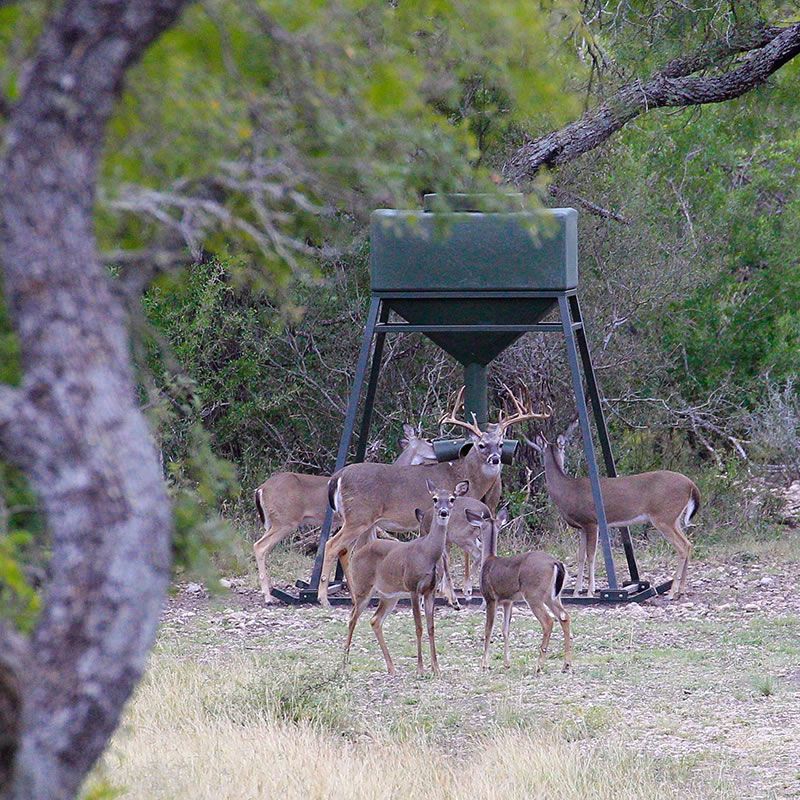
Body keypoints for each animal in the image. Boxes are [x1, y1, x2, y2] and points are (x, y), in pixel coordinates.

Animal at [253, 424, 436, 602]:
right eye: (428, 440)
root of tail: (260, 489)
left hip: (274, 522)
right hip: (286, 521)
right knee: (260, 546)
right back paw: (269, 597)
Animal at [319, 385, 550, 607]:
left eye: (501, 444)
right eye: (481, 445)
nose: (495, 459)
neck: (463, 476)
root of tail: (337, 477)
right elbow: (447, 557)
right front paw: (453, 595)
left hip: (363, 521)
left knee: (346, 551)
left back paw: (354, 595)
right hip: (359, 516)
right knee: (332, 545)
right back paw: (324, 598)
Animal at [343, 480, 469, 676]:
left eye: (452, 499)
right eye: (434, 499)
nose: (443, 512)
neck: (427, 553)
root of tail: (358, 553)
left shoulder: (430, 590)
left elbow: (431, 627)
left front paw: (436, 668)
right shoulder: (413, 587)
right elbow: (418, 627)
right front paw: (420, 669)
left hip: (389, 595)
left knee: (375, 620)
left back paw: (391, 667)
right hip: (362, 587)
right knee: (352, 618)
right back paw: (344, 665)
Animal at [465, 506, 573, 673]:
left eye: (479, 528)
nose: (477, 539)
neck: (488, 560)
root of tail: (556, 563)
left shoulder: (490, 597)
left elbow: (488, 629)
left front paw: (484, 664)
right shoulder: (508, 601)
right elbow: (505, 629)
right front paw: (507, 663)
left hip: (533, 595)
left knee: (548, 621)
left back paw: (539, 665)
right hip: (553, 596)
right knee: (565, 617)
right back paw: (566, 665)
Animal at [525, 421, 700, 600]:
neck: (568, 491)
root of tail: (691, 485)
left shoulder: (591, 522)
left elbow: (591, 555)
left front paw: (590, 591)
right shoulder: (581, 527)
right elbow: (580, 556)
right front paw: (576, 591)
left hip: (663, 516)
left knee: (682, 547)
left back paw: (671, 593)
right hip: (674, 518)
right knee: (689, 544)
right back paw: (681, 590)